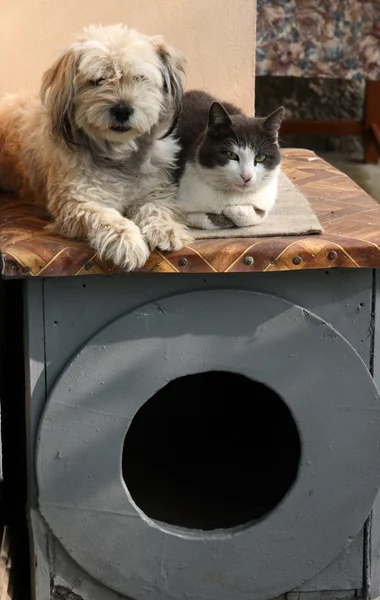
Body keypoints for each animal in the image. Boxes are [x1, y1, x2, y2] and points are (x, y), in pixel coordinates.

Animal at [175, 91, 282, 230]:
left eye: (260, 157)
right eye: (231, 154)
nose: (246, 177)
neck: (236, 195)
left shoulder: (266, 199)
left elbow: (257, 214)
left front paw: (234, 210)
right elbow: (205, 218)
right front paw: (226, 213)